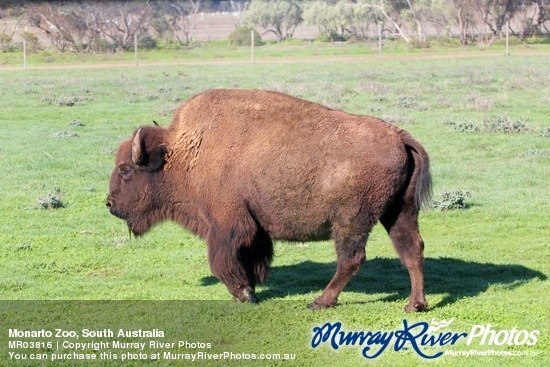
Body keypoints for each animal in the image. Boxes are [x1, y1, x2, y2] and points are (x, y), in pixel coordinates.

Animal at [106, 88, 436, 310]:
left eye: (125, 170)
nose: (109, 204)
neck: (184, 152)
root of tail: (399, 136)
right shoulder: (254, 230)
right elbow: (253, 258)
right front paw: (252, 288)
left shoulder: (226, 225)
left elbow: (220, 261)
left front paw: (244, 293)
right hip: (399, 211)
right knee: (412, 250)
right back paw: (415, 305)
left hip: (351, 221)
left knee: (352, 258)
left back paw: (320, 302)